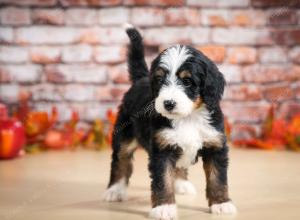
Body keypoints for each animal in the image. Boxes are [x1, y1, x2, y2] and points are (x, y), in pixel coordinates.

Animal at [103, 24, 237, 219]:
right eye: (160, 80)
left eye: (187, 81)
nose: (168, 103)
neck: (188, 117)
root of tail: (140, 78)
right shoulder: (162, 150)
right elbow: (163, 180)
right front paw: (164, 207)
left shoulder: (215, 146)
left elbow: (217, 178)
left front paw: (221, 203)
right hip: (124, 135)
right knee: (120, 160)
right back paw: (115, 190)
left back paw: (181, 184)